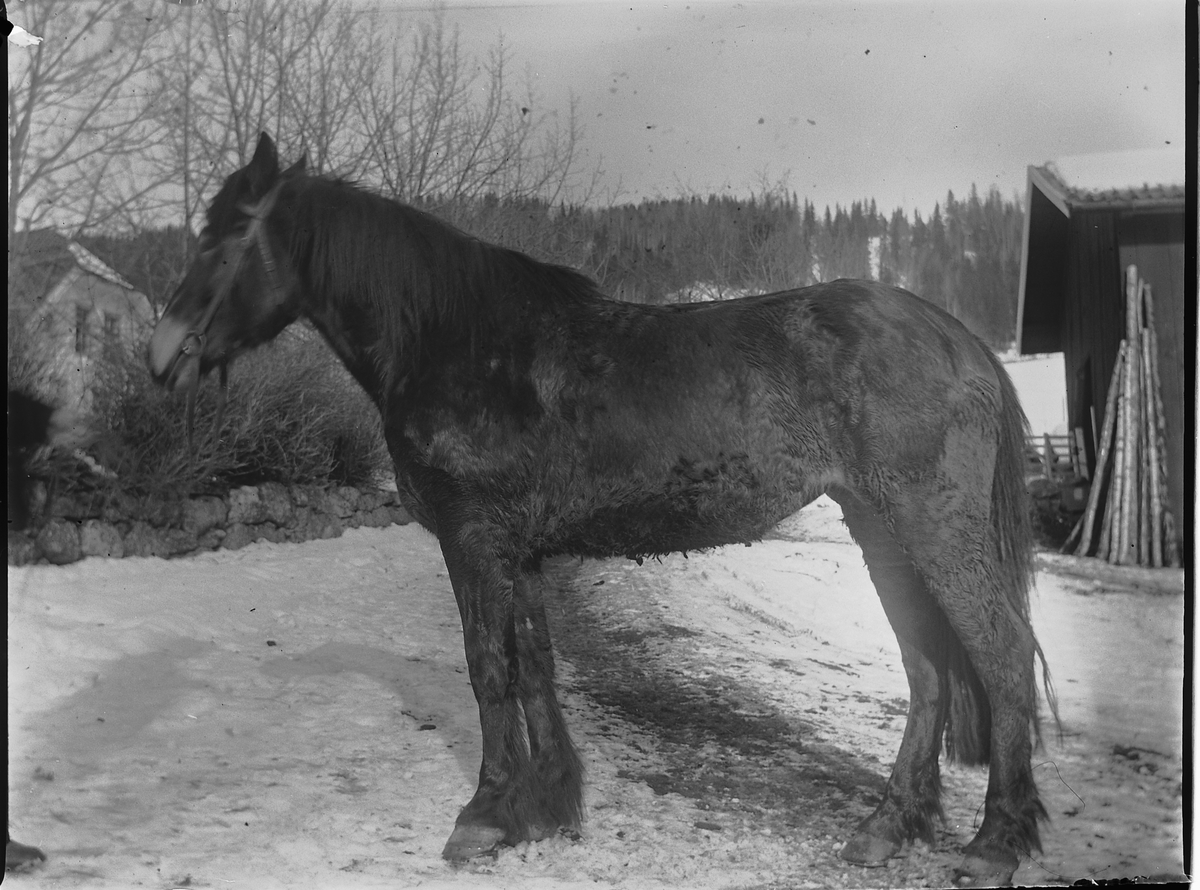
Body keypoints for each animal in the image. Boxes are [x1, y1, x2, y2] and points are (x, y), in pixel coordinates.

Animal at [147, 134, 1051, 887]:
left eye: (226, 235)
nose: (162, 355)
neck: (456, 342)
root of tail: (961, 339)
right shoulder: (521, 549)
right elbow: (536, 668)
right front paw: (549, 805)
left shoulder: (474, 538)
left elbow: (489, 668)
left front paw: (485, 814)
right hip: (879, 531)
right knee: (929, 670)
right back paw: (887, 827)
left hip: (934, 532)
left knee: (1001, 658)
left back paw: (993, 844)